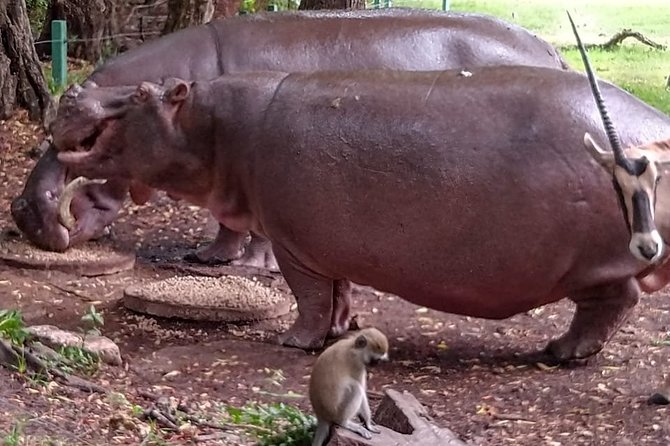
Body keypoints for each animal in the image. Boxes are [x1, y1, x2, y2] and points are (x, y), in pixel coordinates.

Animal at [11, 8, 569, 270]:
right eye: (63, 105)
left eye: (85, 140)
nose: (20, 209)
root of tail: (551, 50)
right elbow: (225, 220)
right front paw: (212, 259)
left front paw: (252, 266)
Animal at [51, 66, 670, 361]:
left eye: (141, 94)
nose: (70, 91)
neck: (211, 123)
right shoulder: (326, 243)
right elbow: (340, 292)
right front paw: (342, 332)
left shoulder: (292, 244)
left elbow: (307, 297)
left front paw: (294, 343)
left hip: (598, 262)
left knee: (615, 300)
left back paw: (562, 353)